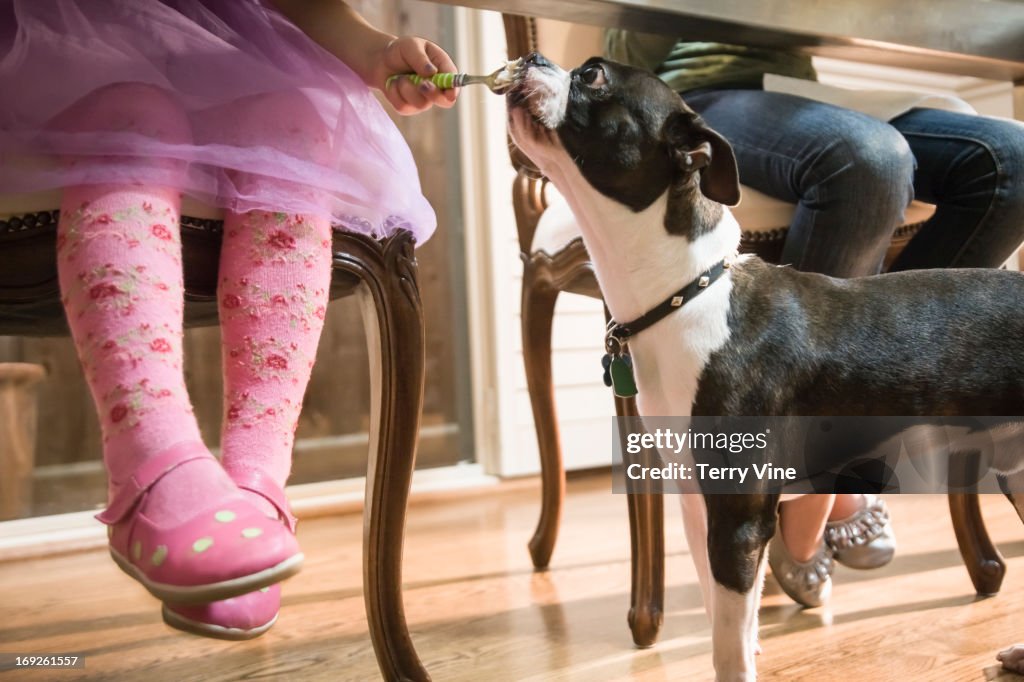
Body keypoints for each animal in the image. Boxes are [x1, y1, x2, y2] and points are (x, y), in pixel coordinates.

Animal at [507, 54, 1024, 679]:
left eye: (593, 76)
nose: (532, 58)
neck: (688, 295)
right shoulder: (698, 505)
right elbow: (726, 617)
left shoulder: (738, 517)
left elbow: (729, 643)